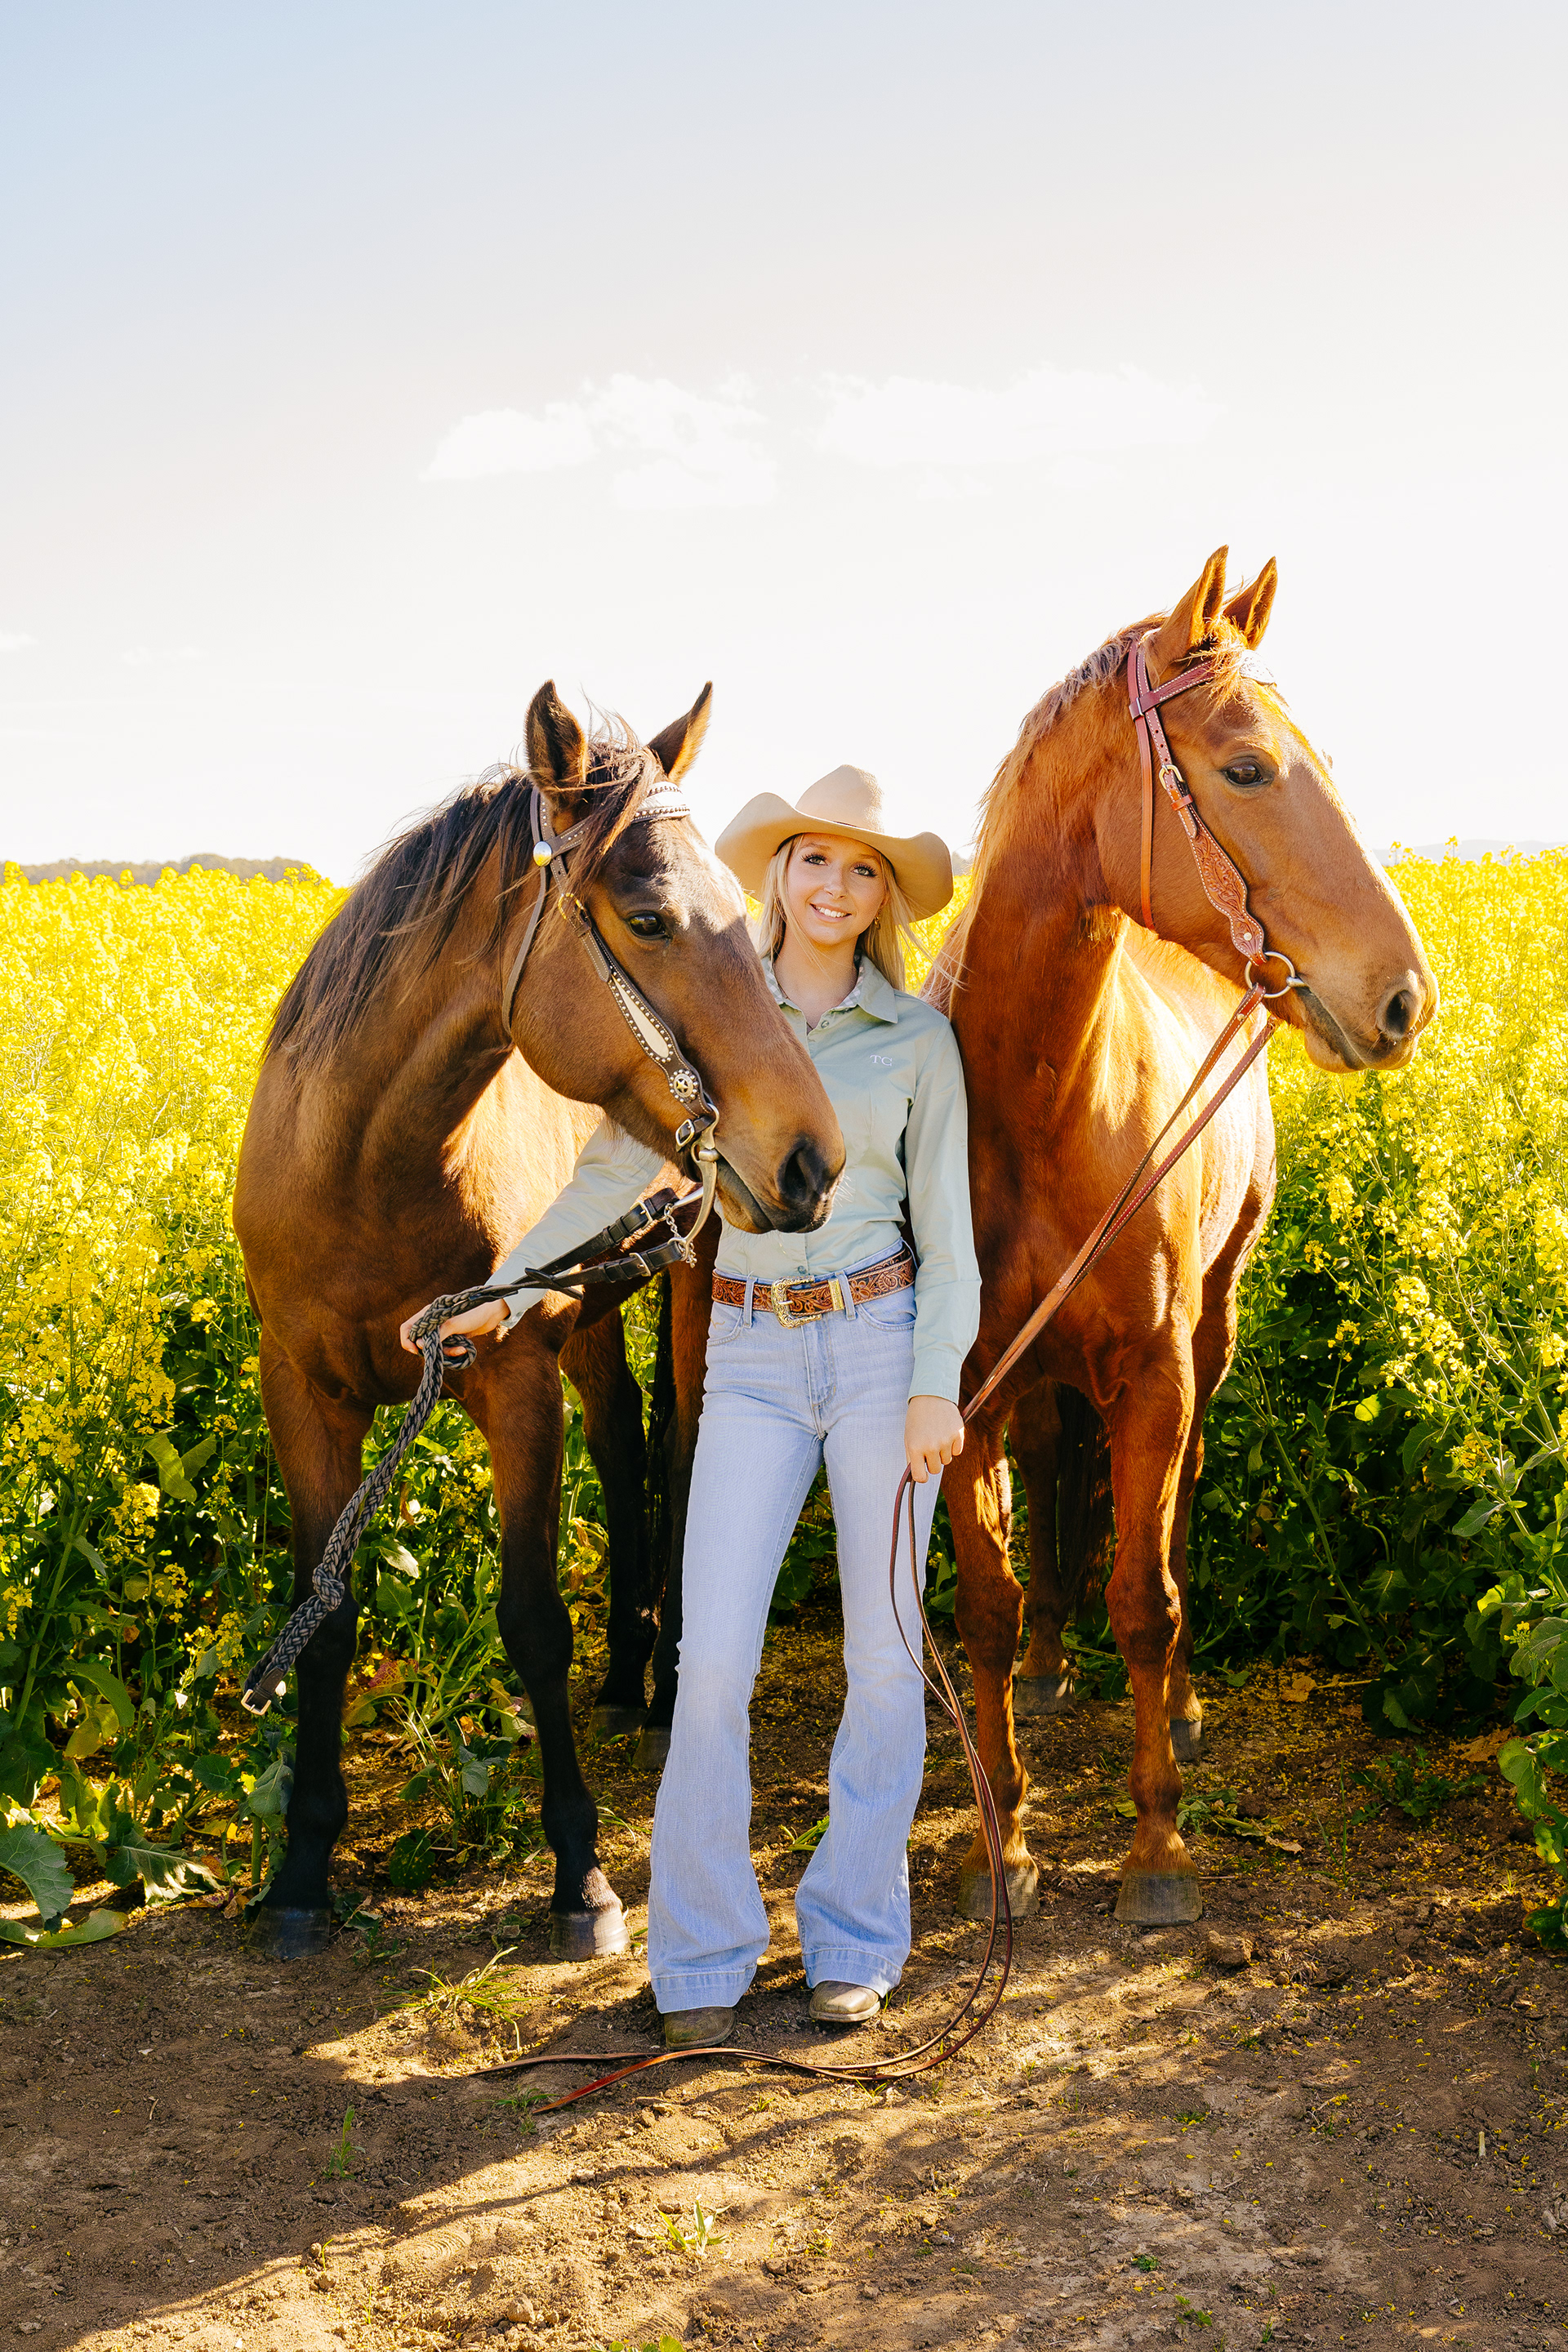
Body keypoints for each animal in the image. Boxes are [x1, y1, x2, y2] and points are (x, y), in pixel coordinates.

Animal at [929, 548, 1437, 1926]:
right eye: (1248, 767)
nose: (1404, 998)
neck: (1034, 1098)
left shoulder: (1154, 1369)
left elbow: (1144, 1596)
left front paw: (1158, 1843)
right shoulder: (962, 1387)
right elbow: (987, 1609)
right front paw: (1005, 1839)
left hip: (1210, 1326)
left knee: (1184, 1505)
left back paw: (1191, 1706)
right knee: (1054, 1486)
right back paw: (1053, 1673)